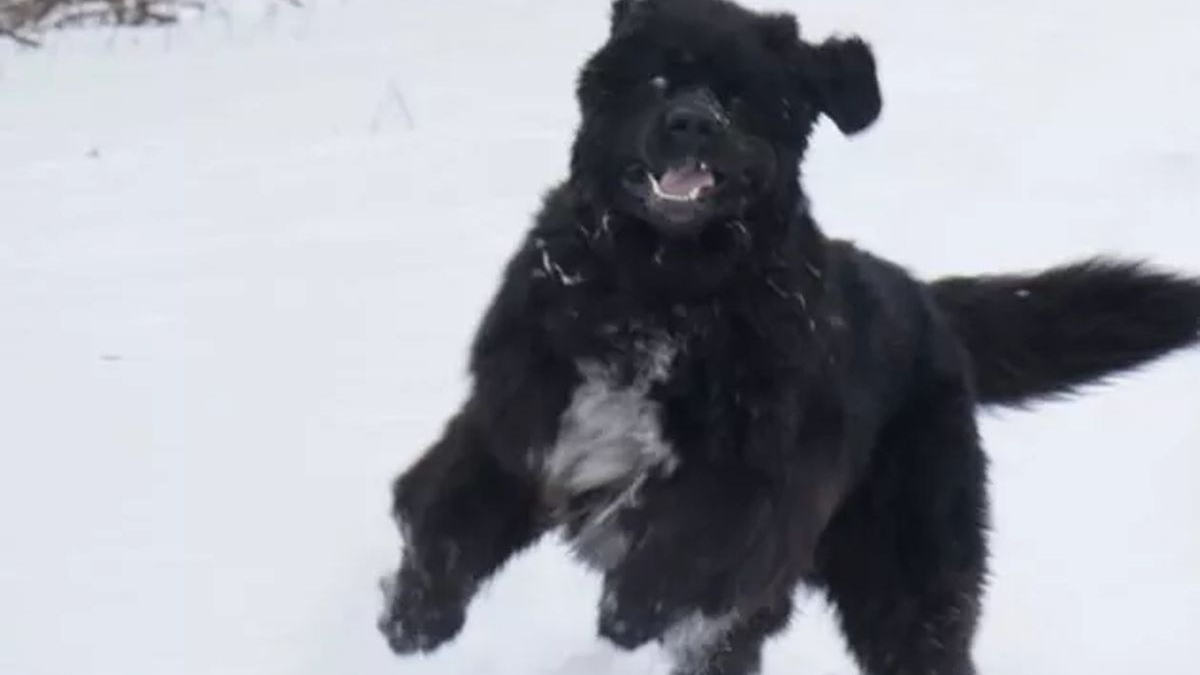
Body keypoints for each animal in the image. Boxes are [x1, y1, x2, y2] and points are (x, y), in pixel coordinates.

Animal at [376, 1, 1200, 672]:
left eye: (742, 95)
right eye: (658, 80)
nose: (692, 122)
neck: (660, 294)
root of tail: (923, 296)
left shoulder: (757, 482)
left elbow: (691, 540)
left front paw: (626, 612)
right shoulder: (515, 418)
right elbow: (447, 515)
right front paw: (413, 616)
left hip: (906, 564)